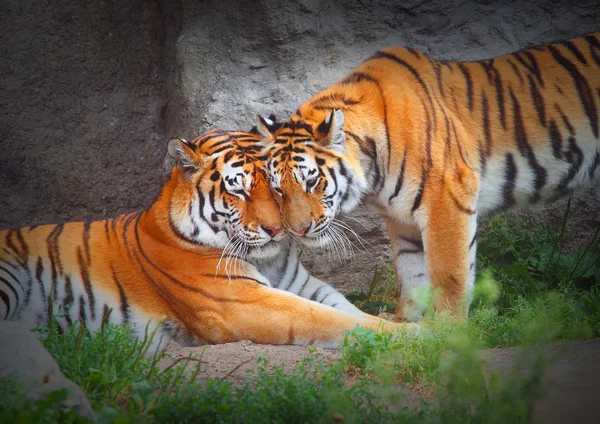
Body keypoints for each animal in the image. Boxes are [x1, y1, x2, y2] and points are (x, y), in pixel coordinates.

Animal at [0, 129, 408, 352]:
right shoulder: (246, 302)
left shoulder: (305, 286)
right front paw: (416, 335)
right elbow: (332, 321)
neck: (270, 259)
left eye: (277, 187)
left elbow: (351, 312)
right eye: (239, 191)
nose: (276, 230)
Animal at [258, 30, 600, 322]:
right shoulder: (401, 217)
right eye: (278, 190)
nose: (298, 231)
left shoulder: (447, 198)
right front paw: (405, 323)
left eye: (311, 182)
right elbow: (411, 272)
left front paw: (447, 330)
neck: (374, 170)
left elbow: (449, 273)